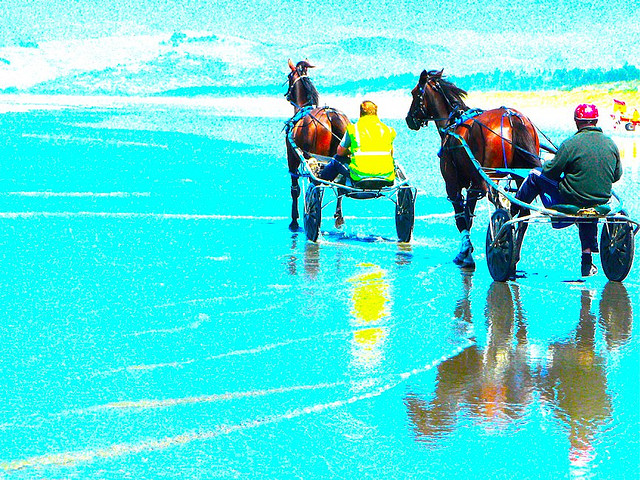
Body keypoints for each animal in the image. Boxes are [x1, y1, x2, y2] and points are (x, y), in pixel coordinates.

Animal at [282, 59, 348, 232]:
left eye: (289, 76)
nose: (287, 94)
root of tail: (331, 116)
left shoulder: (292, 157)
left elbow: (295, 190)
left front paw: (294, 220)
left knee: (317, 185)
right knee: (339, 185)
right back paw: (339, 217)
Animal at [404, 69, 540, 268]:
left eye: (414, 93)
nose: (409, 119)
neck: (453, 124)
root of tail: (511, 117)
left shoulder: (453, 184)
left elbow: (461, 217)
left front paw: (465, 252)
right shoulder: (474, 185)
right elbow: (468, 215)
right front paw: (467, 250)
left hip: (491, 177)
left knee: (503, 208)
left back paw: (500, 243)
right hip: (520, 175)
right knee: (522, 211)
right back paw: (514, 256)